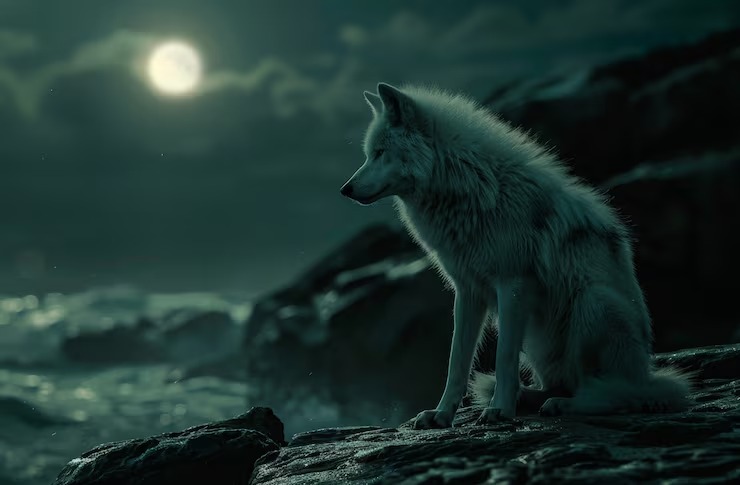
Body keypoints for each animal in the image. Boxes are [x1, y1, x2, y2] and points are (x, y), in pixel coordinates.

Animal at [339, 82, 692, 429]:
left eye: (379, 153)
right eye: (368, 154)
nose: (345, 189)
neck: (468, 185)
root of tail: (645, 373)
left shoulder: (512, 285)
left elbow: (503, 358)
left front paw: (499, 410)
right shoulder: (467, 291)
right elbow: (456, 362)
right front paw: (441, 415)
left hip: (594, 303)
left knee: (616, 394)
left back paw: (565, 404)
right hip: (540, 342)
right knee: (565, 384)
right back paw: (534, 399)